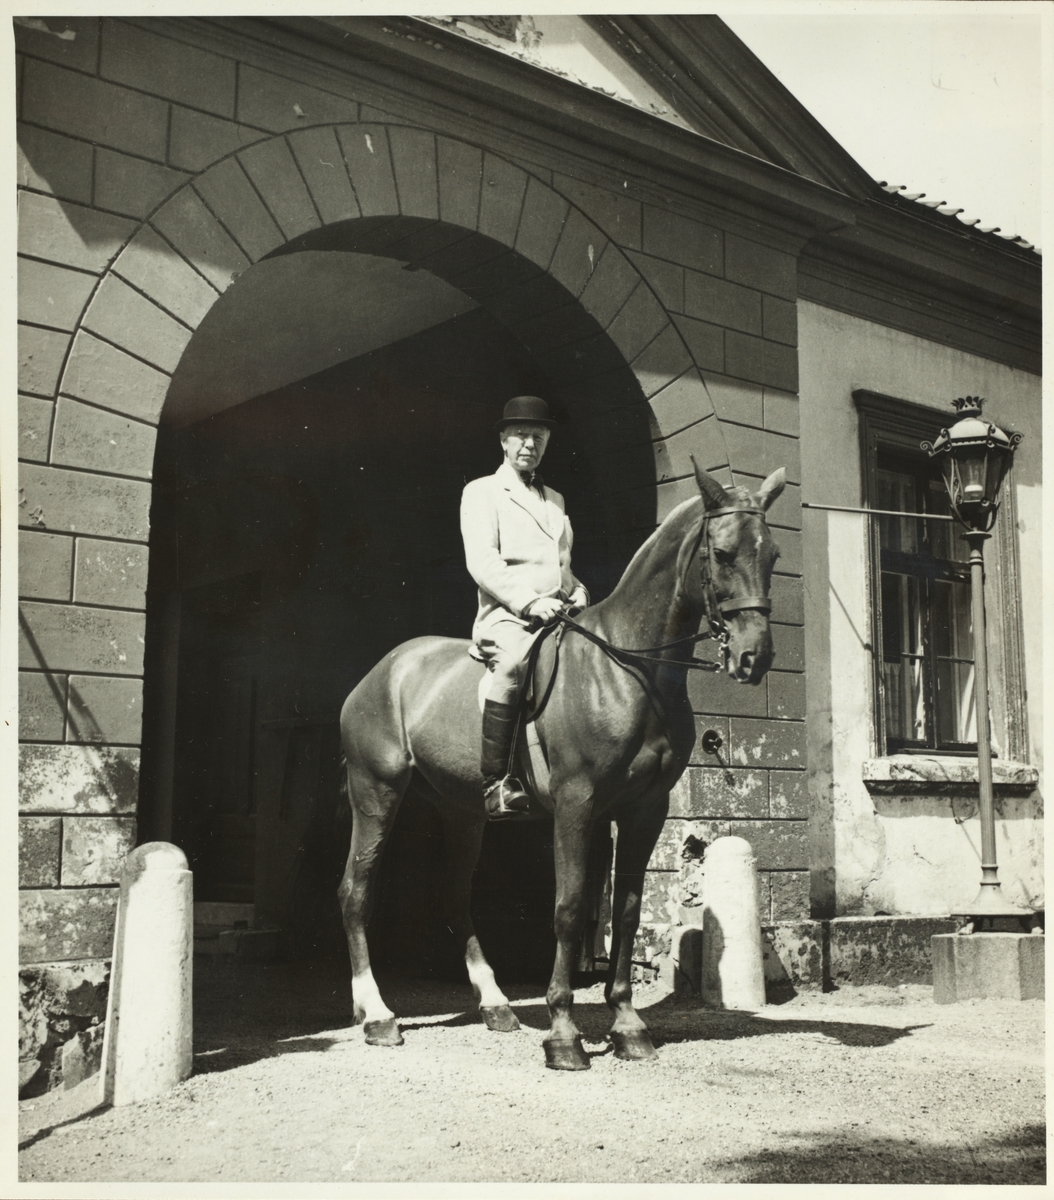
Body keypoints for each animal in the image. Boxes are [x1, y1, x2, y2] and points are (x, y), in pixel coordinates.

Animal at [336, 458, 782, 1070]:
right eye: (722, 552)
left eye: (774, 555)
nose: (753, 657)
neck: (628, 668)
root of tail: (381, 671)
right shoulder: (576, 805)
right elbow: (569, 909)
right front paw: (564, 1034)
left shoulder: (644, 812)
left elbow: (626, 912)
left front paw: (628, 1027)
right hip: (376, 793)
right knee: (355, 891)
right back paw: (377, 1014)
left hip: (463, 812)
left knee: (455, 895)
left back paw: (495, 1005)